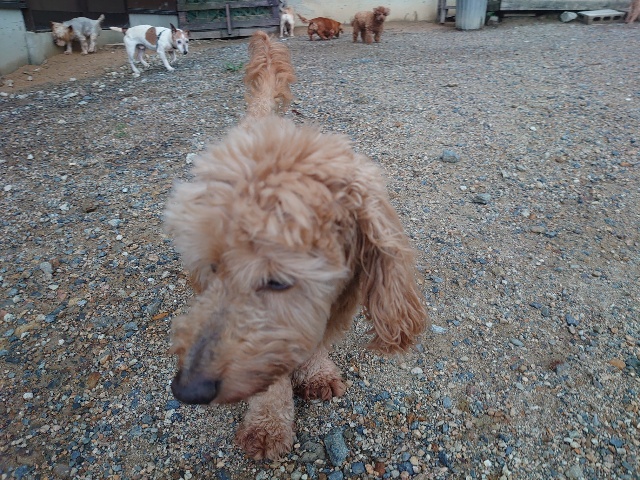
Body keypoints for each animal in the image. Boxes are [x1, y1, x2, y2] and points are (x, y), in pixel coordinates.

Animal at [164, 30, 427, 460]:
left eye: (277, 280)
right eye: (213, 266)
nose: (187, 390)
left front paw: (315, 373)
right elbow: (271, 374)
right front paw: (268, 425)